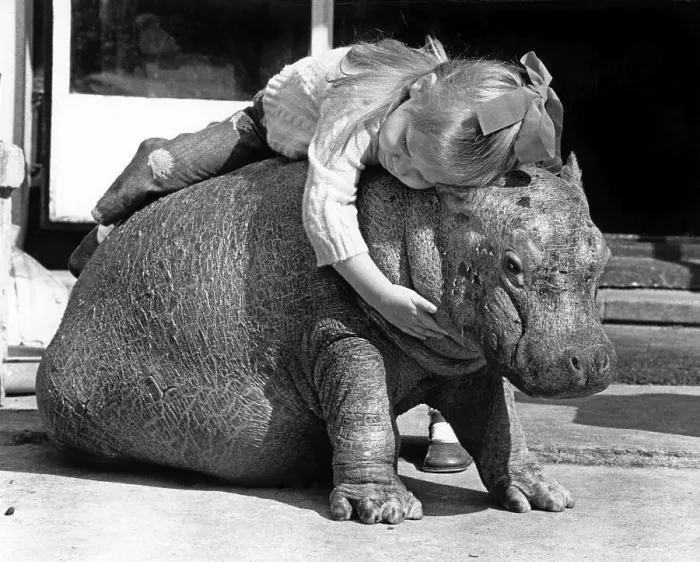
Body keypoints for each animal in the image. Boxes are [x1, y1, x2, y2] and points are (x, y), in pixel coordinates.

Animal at [36, 153, 615, 524]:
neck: (420, 216)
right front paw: (383, 510)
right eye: (511, 263)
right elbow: (365, 413)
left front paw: (546, 496)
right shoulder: (340, 336)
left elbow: (503, 428)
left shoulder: (474, 362)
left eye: (604, 251)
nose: (588, 360)